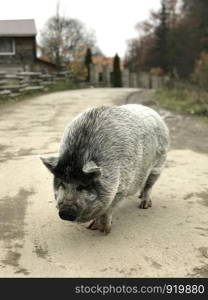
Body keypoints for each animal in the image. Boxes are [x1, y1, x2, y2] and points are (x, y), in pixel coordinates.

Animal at [40, 104, 169, 233]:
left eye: (82, 186)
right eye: (61, 183)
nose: (65, 212)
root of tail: (152, 111)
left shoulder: (122, 187)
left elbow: (108, 209)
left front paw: (103, 230)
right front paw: (91, 228)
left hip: (158, 165)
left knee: (149, 185)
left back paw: (144, 205)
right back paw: (140, 196)